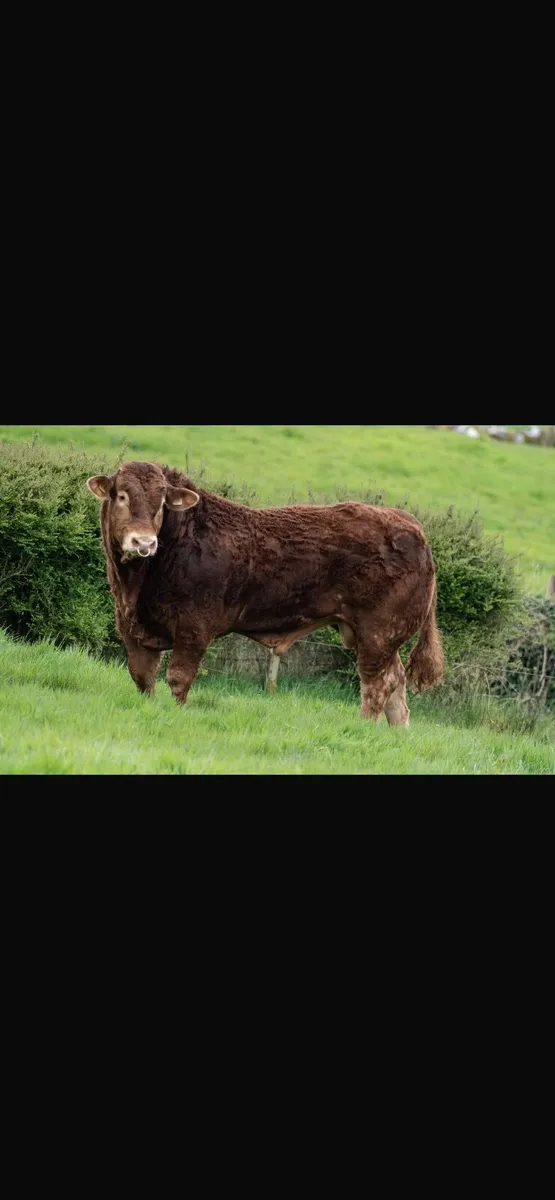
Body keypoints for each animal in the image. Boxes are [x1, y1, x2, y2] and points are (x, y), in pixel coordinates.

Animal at [87, 461, 444, 726]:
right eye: (122, 496)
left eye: (161, 502)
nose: (143, 542)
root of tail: (411, 525)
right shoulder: (131, 626)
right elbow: (142, 677)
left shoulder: (194, 628)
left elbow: (178, 678)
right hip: (374, 636)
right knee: (396, 683)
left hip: (378, 633)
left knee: (377, 685)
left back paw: (363, 727)